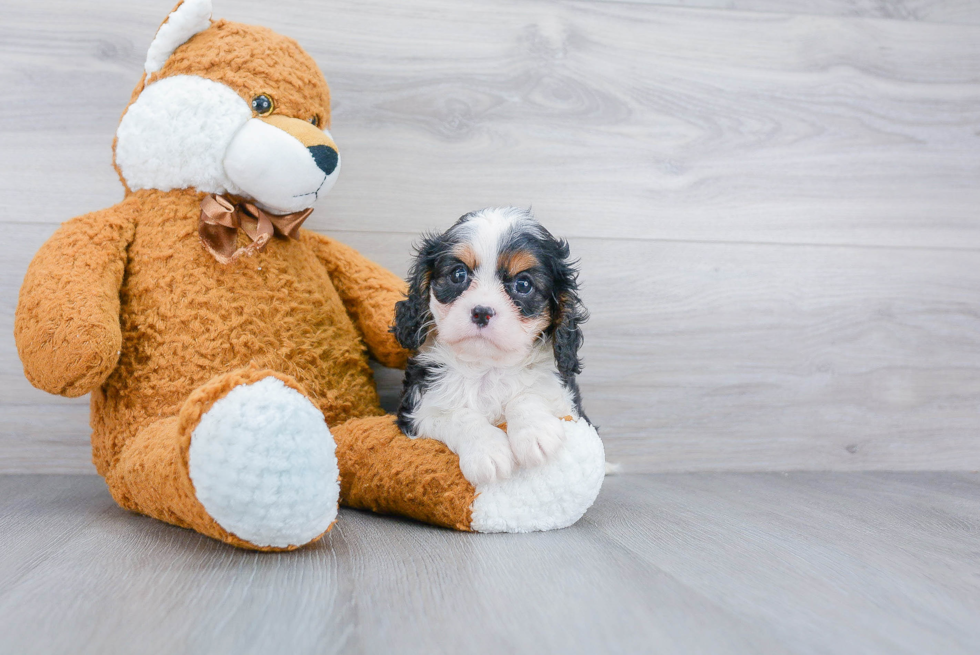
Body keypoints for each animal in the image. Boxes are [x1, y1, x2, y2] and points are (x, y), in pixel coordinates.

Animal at [390, 208, 588, 484]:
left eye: (523, 284)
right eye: (458, 274)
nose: (481, 312)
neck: (487, 368)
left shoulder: (567, 405)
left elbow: (529, 394)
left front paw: (534, 432)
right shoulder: (415, 412)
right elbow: (458, 416)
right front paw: (487, 451)